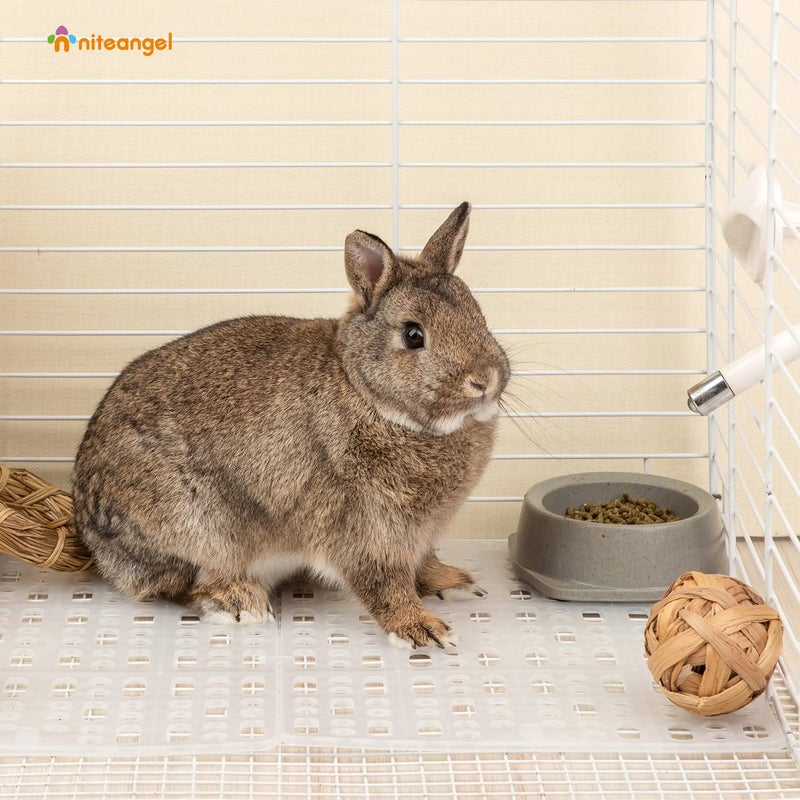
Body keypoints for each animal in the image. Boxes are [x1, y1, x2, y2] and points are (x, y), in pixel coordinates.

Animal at [72, 202, 510, 649]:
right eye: (413, 335)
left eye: (479, 315)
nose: (484, 379)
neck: (367, 393)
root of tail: (91, 535)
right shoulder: (361, 527)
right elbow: (382, 583)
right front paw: (422, 630)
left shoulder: (417, 536)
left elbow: (422, 564)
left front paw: (454, 583)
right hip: (199, 528)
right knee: (180, 585)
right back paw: (240, 603)